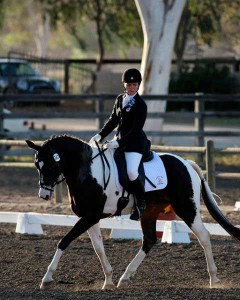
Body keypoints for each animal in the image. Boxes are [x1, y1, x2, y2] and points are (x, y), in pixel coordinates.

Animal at [25, 135, 240, 288]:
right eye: (37, 165)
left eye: (52, 163)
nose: (44, 195)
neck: (87, 171)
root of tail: (186, 162)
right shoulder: (89, 217)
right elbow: (98, 248)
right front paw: (108, 281)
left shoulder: (90, 216)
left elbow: (64, 241)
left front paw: (47, 278)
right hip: (149, 212)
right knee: (149, 240)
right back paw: (125, 277)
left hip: (187, 208)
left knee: (204, 236)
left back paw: (214, 279)